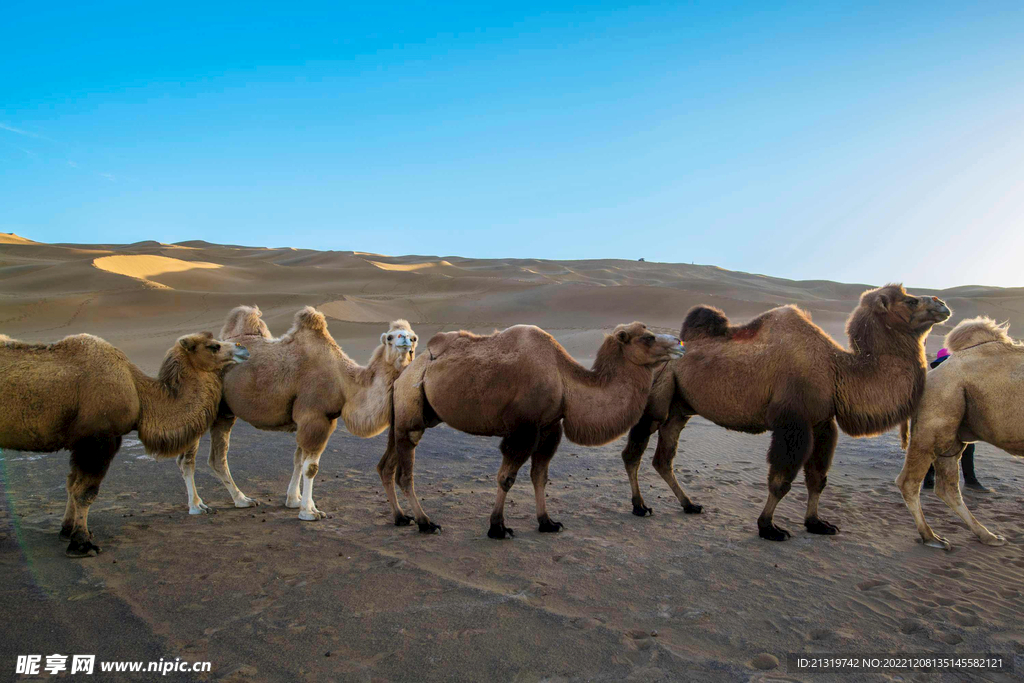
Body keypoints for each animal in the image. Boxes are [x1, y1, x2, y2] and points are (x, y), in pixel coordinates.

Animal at [0, 333, 247, 557]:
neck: (138, 391)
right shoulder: (100, 439)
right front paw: (82, 544)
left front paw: (67, 531)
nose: (243, 348)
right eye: (213, 346)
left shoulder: (80, 442)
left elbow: (71, 484)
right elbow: (85, 492)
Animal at [186, 307, 417, 520]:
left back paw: (240, 500)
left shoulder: (317, 421)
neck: (344, 382)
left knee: (216, 458)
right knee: (197, 456)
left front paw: (294, 500)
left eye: (413, 336)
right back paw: (203, 505)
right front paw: (309, 512)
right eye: (391, 336)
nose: (407, 341)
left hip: (225, 413)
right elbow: (310, 467)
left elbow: (298, 459)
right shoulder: (314, 418)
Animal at [380, 321, 684, 540]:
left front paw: (547, 522)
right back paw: (426, 523)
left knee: (386, 466)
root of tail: (404, 374)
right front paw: (498, 528)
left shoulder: (549, 427)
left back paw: (400, 518)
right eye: (647, 338)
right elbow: (506, 478)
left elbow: (540, 476)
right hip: (410, 413)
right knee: (405, 473)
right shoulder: (522, 430)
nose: (680, 344)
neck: (564, 380)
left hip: (411, 414)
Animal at [614, 282, 950, 540]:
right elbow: (781, 480)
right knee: (634, 451)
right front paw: (769, 527)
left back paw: (690, 505)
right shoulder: (793, 421)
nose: (942, 303)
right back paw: (640, 506)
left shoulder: (823, 422)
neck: (837, 369)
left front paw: (817, 524)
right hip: (657, 395)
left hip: (680, 408)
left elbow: (817, 478)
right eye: (910, 300)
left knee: (663, 458)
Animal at [897, 319, 1024, 548]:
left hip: (953, 426)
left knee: (947, 486)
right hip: (941, 404)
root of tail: (930, 375)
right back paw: (932, 538)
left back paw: (988, 536)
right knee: (910, 481)